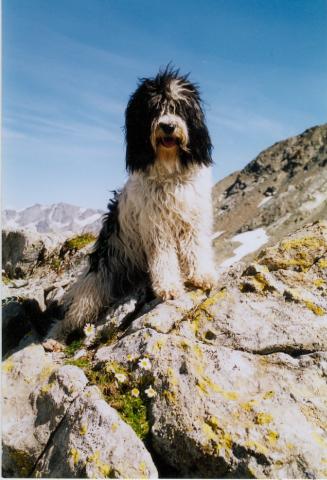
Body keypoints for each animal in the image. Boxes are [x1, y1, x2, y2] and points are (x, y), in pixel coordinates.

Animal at [44, 66, 218, 344]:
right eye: (154, 109)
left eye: (178, 107)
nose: (167, 126)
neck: (169, 172)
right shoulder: (156, 227)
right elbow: (163, 258)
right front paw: (169, 287)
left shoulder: (192, 217)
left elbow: (196, 248)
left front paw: (202, 276)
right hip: (100, 277)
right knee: (73, 314)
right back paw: (55, 338)